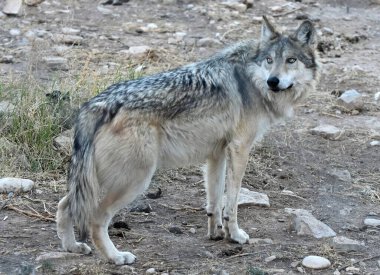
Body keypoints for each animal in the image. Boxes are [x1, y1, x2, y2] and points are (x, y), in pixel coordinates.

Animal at [55, 16, 318, 266]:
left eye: (291, 60)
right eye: (269, 60)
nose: (273, 81)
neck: (251, 80)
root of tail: (95, 105)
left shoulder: (217, 154)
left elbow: (214, 201)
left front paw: (215, 234)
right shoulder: (240, 148)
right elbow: (231, 202)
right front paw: (235, 235)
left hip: (96, 181)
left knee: (65, 205)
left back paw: (73, 247)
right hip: (134, 181)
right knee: (96, 218)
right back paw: (116, 257)